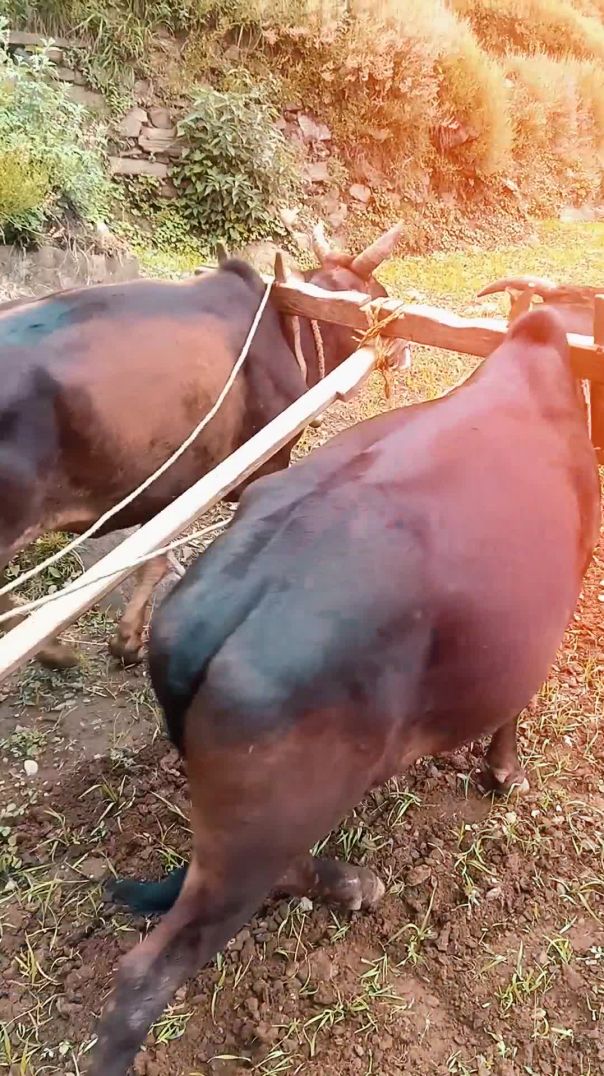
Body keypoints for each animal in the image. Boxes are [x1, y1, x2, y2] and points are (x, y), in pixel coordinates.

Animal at [0, 223, 404, 669]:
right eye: (378, 294)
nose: (402, 351)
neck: (287, 329)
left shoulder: (168, 488)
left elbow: (152, 558)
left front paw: (126, 639)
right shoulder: (261, 468)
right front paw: (129, 640)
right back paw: (54, 650)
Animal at [89, 306, 600, 1075]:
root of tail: (205, 616)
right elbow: (515, 709)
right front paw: (505, 773)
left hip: (265, 821)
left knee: (283, 870)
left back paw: (354, 884)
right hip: (262, 827)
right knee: (144, 979)